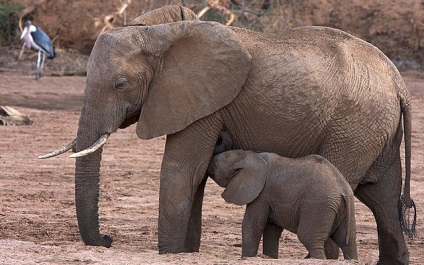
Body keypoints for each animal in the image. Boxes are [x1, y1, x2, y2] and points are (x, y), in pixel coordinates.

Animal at [208, 150, 358, 258]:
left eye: (215, 163)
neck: (250, 155)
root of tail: (343, 188)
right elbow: (271, 230)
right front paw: (270, 257)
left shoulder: (262, 193)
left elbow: (253, 225)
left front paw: (245, 258)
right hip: (342, 207)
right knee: (347, 243)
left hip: (318, 205)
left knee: (308, 238)